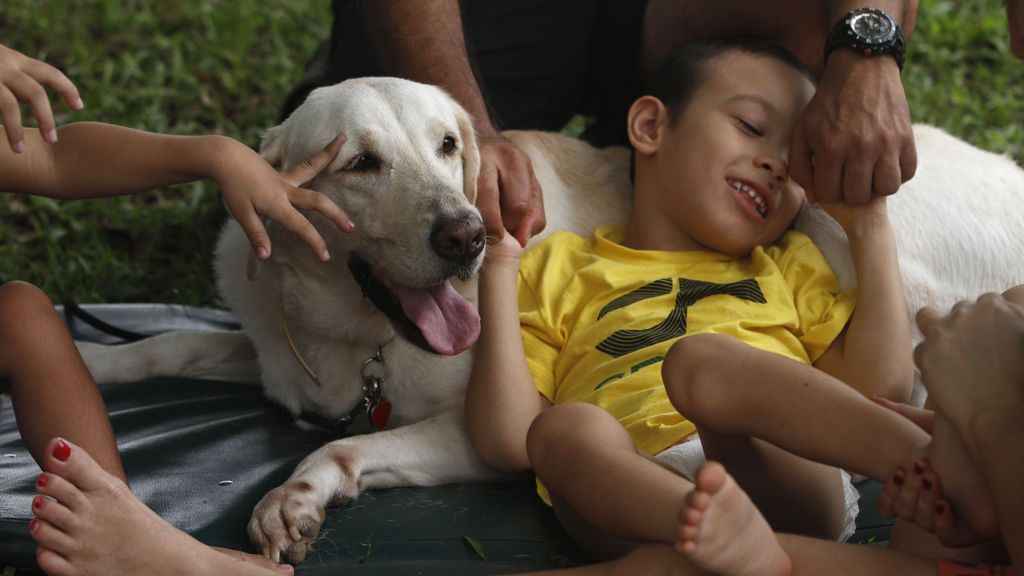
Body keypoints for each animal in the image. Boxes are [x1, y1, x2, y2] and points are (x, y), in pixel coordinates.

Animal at [81, 75, 1024, 561]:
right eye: (359, 164)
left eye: (448, 147)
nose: (467, 235)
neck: (349, 332)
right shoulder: (279, 355)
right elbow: (178, 340)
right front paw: (97, 362)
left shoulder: (485, 430)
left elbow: (344, 446)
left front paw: (295, 496)